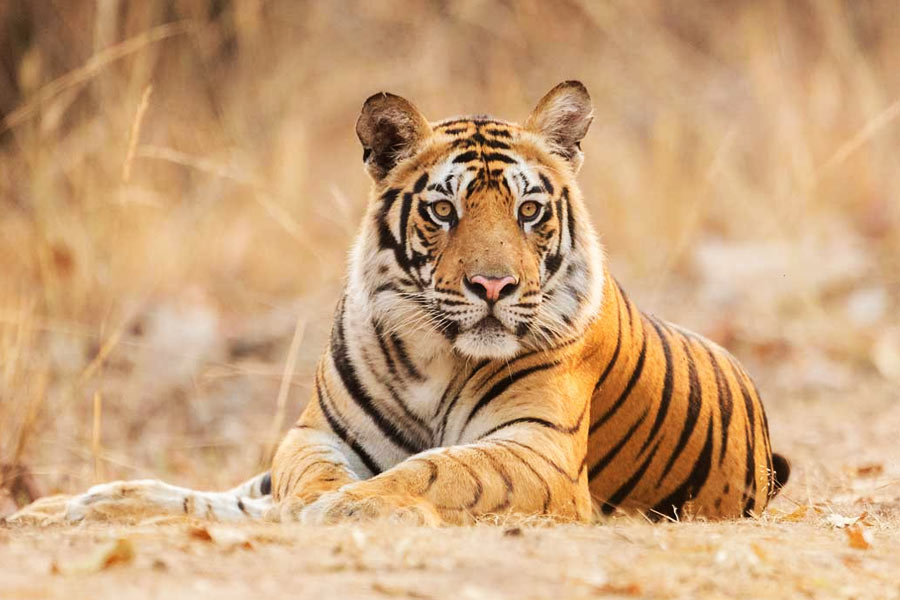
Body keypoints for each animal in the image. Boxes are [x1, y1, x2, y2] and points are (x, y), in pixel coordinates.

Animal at [11, 81, 789, 527]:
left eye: (529, 211)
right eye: (444, 210)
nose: (493, 288)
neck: (435, 357)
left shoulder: (536, 452)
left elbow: (444, 467)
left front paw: (350, 506)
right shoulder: (314, 433)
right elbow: (301, 476)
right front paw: (317, 501)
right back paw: (64, 507)